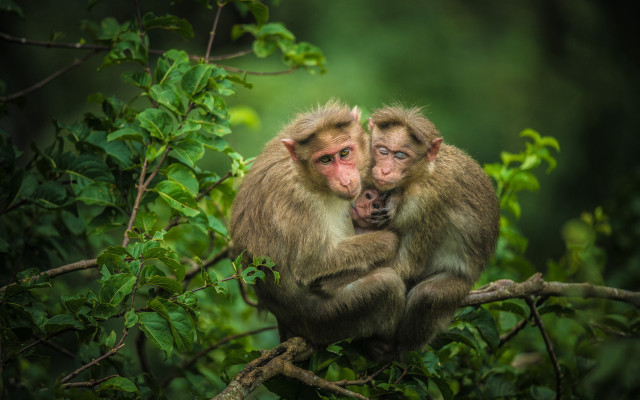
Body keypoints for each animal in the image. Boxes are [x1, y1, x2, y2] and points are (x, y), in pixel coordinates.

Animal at [229, 101, 406, 347]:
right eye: (325, 160)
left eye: (344, 152)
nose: (345, 180)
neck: (307, 176)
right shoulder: (297, 200)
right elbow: (310, 264)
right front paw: (389, 239)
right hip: (326, 319)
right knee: (386, 284)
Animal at [368, 105, 500, 357]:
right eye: (383, 151)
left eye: (401, 156)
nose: (385, 170)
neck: (419, 176)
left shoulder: (430, 202)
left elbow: (405, 267)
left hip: (460, 285)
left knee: (428, 294)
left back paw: (397, 350)